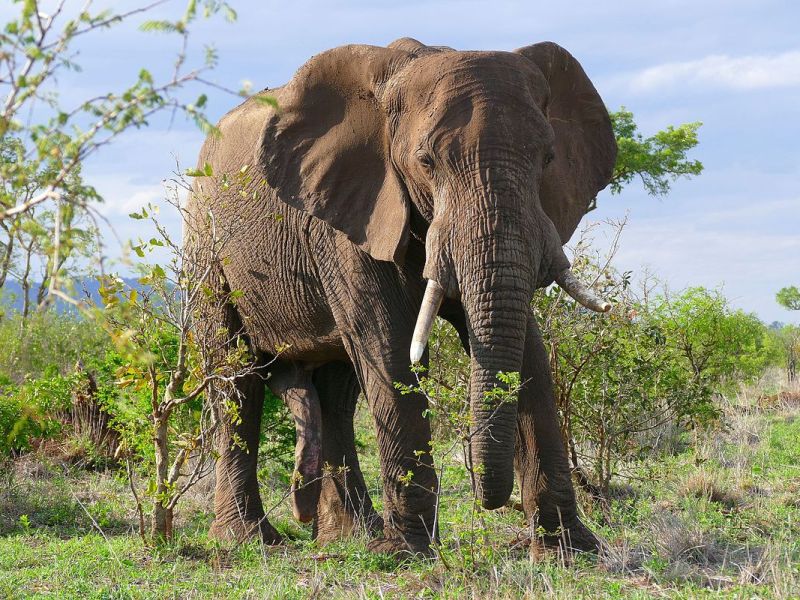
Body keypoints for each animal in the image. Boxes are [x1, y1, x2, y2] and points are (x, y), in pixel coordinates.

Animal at [187, 37, 616, 556]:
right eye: (426, 161)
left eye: (549, 158)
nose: (488, 499)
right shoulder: (350, 218)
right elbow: (390, 346)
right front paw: (408, 552)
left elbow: (528, 349)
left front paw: (571, 551)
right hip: (206, 245)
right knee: (236, 376)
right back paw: (249, 542)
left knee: (336, 391)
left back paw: (351, 536)